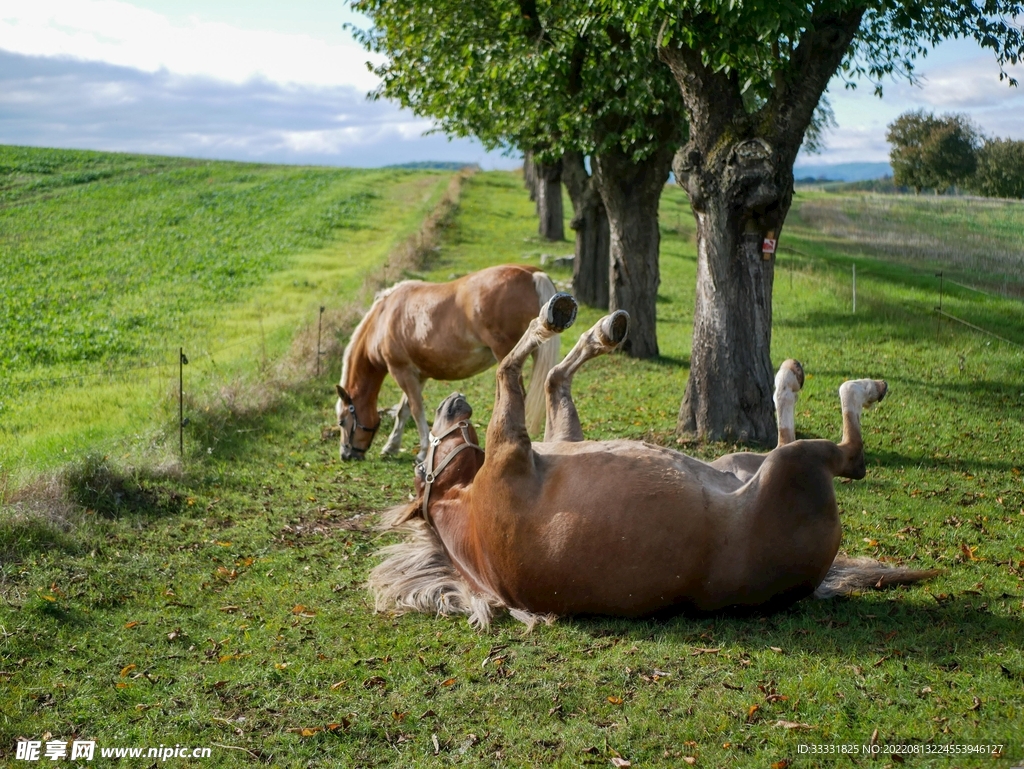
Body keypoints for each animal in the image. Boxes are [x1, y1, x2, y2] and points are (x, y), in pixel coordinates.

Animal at [335, 264, 560, 461]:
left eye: (342, 421)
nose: (346, 455)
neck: (384, 317)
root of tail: (532, 274)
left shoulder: (401, 371)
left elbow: (416, 410)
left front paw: (422, 452)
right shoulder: (417, 375)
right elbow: (403, 410)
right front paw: (391, 446)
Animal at [369, 294, 939, 628]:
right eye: (421, 462)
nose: (450, 403)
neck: (471, 518)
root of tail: (812, 580)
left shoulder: (553, 440)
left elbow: (553, 380)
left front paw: (600, 329)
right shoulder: (511, 445)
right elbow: (510, 368)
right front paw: (553, 316)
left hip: (741, 461)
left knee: (781, 433)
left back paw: (787, 379)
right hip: (792, 469)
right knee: (849, 454)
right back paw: (857, 389)